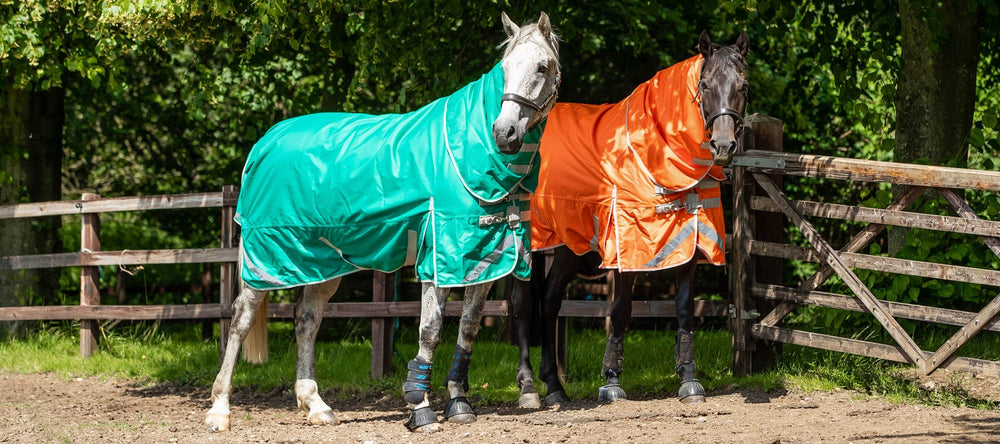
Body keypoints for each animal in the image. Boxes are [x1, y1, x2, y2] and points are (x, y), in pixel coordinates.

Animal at [204, 12, 560, 433]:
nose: (505, 133)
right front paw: (421, 409)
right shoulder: (438, 258)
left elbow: (468, 329)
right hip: (268, 257)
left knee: (306, 321)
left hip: (321, 261)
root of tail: (263, 144)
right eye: (504, 68)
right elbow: (430, 331)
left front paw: (459, 403)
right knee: (241, 320)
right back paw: (219, 411)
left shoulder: (482, 259)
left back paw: (316, 405)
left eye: (542, 66)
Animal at [509, 30, 748, 408]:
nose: (723, 145)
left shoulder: (687, 247)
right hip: (529, 243)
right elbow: (620, 310)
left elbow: (684, 309)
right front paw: (611, 382)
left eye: (743, 85)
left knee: (549, 301)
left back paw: (556, 387)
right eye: (706, 84)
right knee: (524, 304)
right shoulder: (628, 248)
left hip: (569, 248)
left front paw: (689, 379)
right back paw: (529, 387)